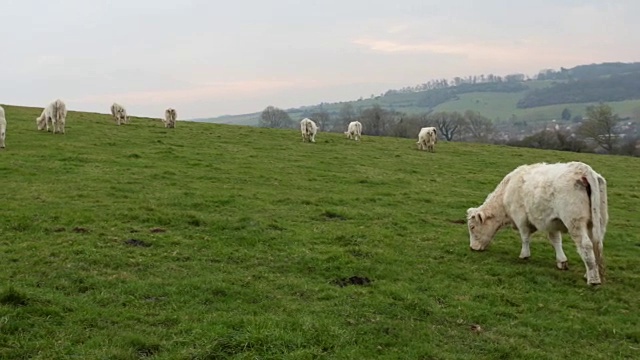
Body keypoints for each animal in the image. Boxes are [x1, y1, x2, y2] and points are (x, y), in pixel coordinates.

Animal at [464, 162, 608, 286]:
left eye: (472, 227)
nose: (472, 247)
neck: (507, 191)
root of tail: (583, 169)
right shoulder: (552, 222)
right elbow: (556, 241)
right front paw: (561, 261)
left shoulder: (521, 218)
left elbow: (525, 237)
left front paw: (524, 255)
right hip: (597, 223)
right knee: (597, 245)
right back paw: (589, 273)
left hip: (575, 222)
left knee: (586, 244)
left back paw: (593, 280)